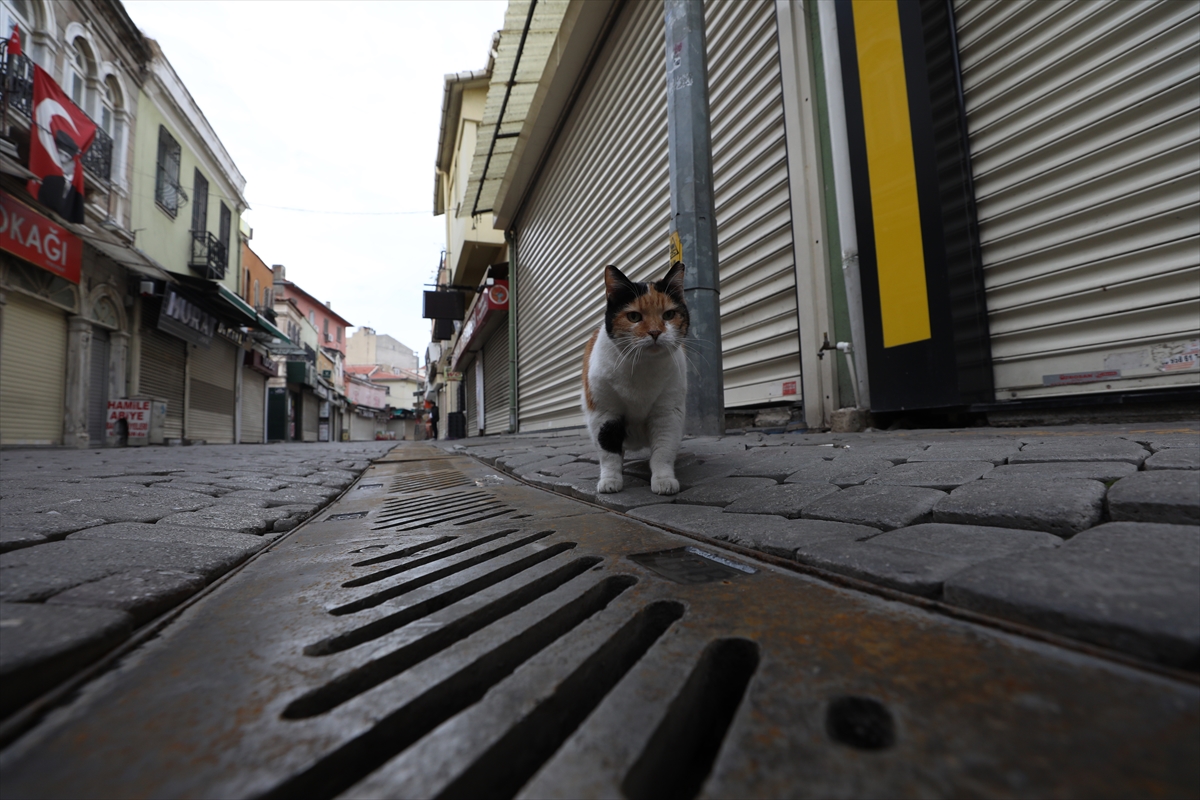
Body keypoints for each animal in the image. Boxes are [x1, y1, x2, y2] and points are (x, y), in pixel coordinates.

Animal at [583, 262, 691, 494]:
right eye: (634, 317)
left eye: (669, 315)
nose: (655, 332)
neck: (641, 367)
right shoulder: (604, 412)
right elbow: (608, 451)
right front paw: (610, 481)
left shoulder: (667, 412)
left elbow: (663, 450)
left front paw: (663, 480)